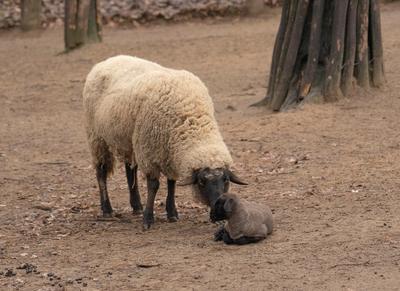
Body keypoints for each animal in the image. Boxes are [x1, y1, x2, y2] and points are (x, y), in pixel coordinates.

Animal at [82, 56, 247, 230]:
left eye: (226, 180)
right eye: (202, 182)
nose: (219, 208)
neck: (192, 120)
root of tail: (107, 60)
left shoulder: (169, 152)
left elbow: (171, 183)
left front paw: (172, 213)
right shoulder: (149, 151)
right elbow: (153, 185)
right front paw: (148, 219)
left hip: (129, 139)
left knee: (129, 169)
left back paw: (136, 206)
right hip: (97, 137)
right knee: (101, 172)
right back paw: (107, 209)